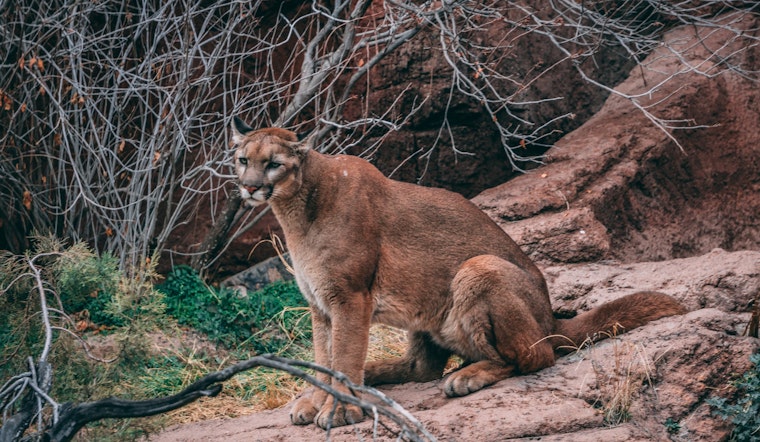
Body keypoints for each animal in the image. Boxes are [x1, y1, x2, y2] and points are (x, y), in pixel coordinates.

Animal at [229, 118, 686, 429]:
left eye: (273, 164)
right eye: (242, 161)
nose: (249, 187)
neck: (297, 210)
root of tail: (551, 318)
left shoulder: (349, 298)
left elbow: (341, 356)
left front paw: (338, 407)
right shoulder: (320, 303)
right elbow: (324, 356)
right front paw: (315, 399)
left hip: (478, 268)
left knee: (534, 356)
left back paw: (466, 376)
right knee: (423, 368)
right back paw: (376, 375)